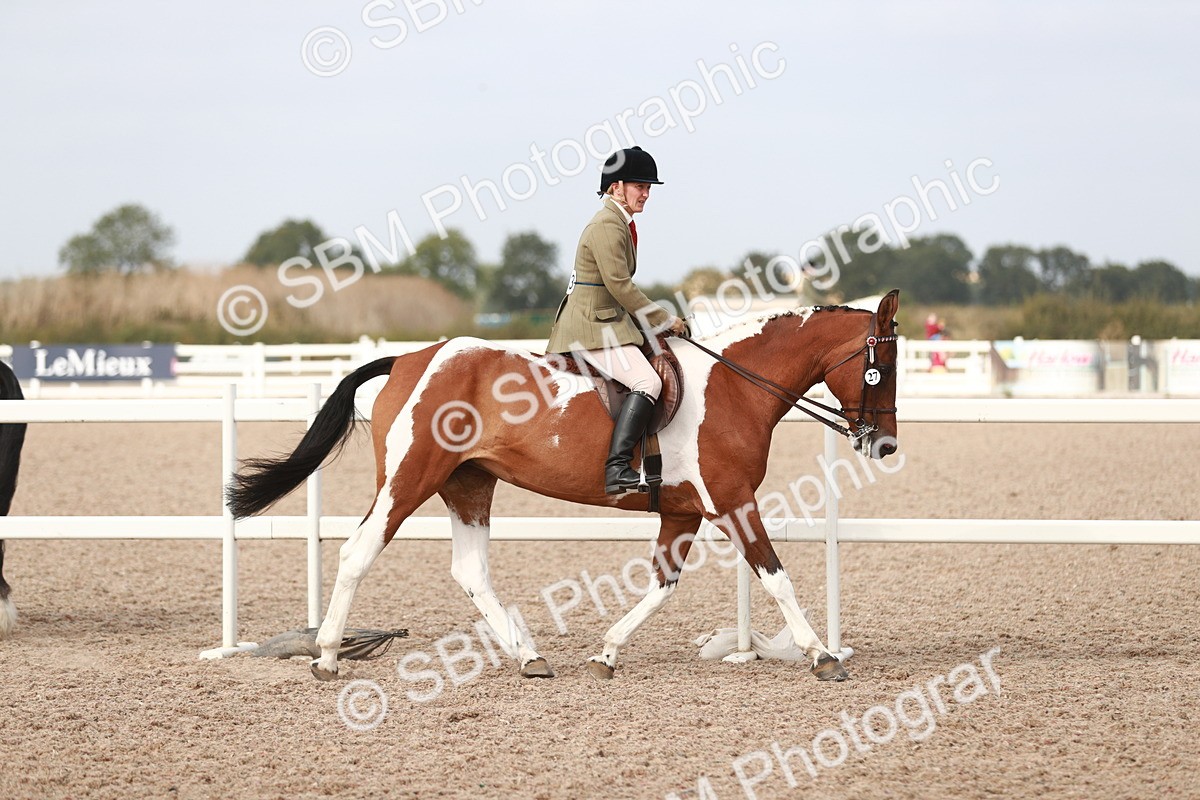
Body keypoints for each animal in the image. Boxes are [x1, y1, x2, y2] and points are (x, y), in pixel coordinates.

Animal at [228, 289, 901, 683]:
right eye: (883, 366)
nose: (885, 446)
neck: (736, 385)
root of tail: (412, 358)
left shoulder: (684, 511)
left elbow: (663, 584)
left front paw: (606, 653)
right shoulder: (733, 504)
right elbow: (776, 575)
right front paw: (822, 655)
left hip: (468, 485)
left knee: (470, 571)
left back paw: (528, 657)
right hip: (410, 479)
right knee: (358, 552)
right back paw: (327, 657)